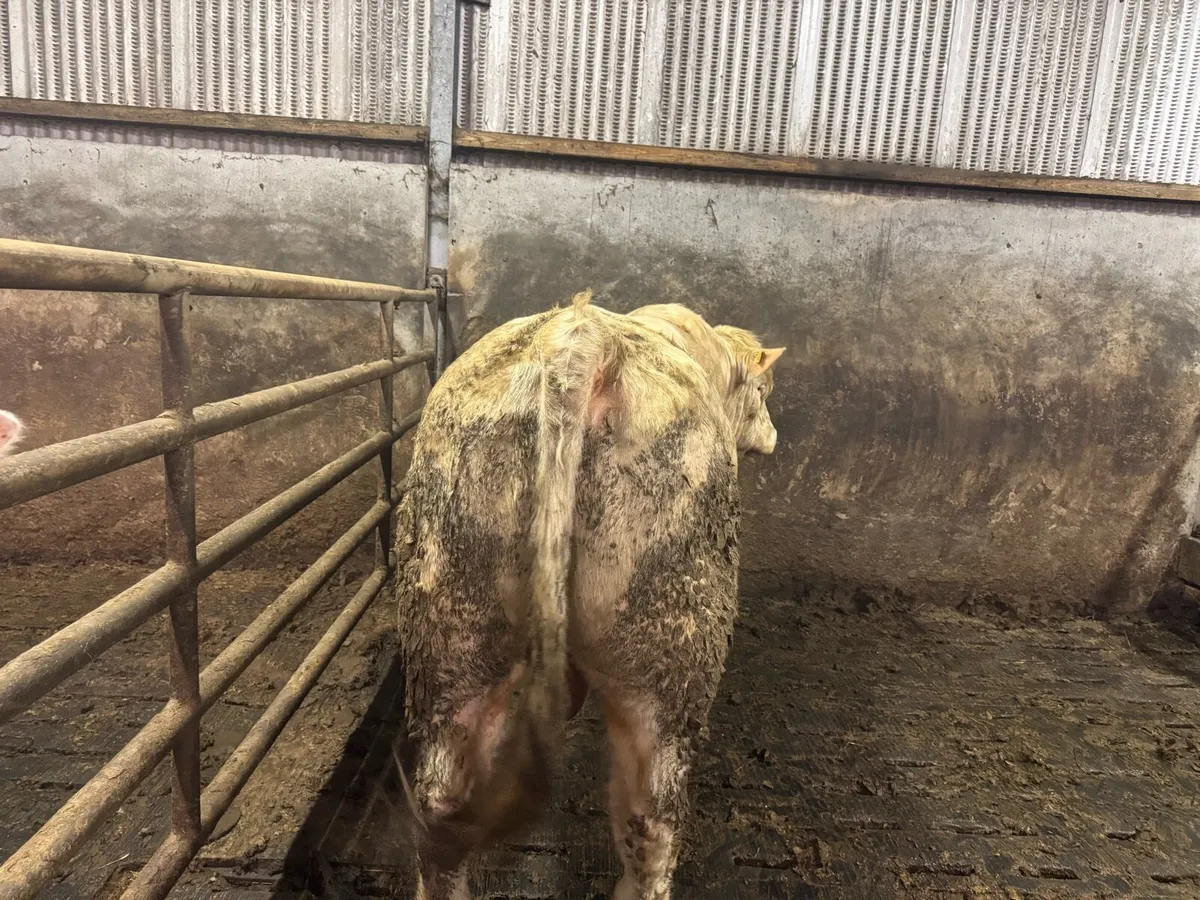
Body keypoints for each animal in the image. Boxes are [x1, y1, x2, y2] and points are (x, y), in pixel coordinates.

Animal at [394, 291, 784, 899]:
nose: (772, 435)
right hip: (671, 639)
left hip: (451, 618)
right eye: (763, 391)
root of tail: (579, 339)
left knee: (440, 805)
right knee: (651, 818)